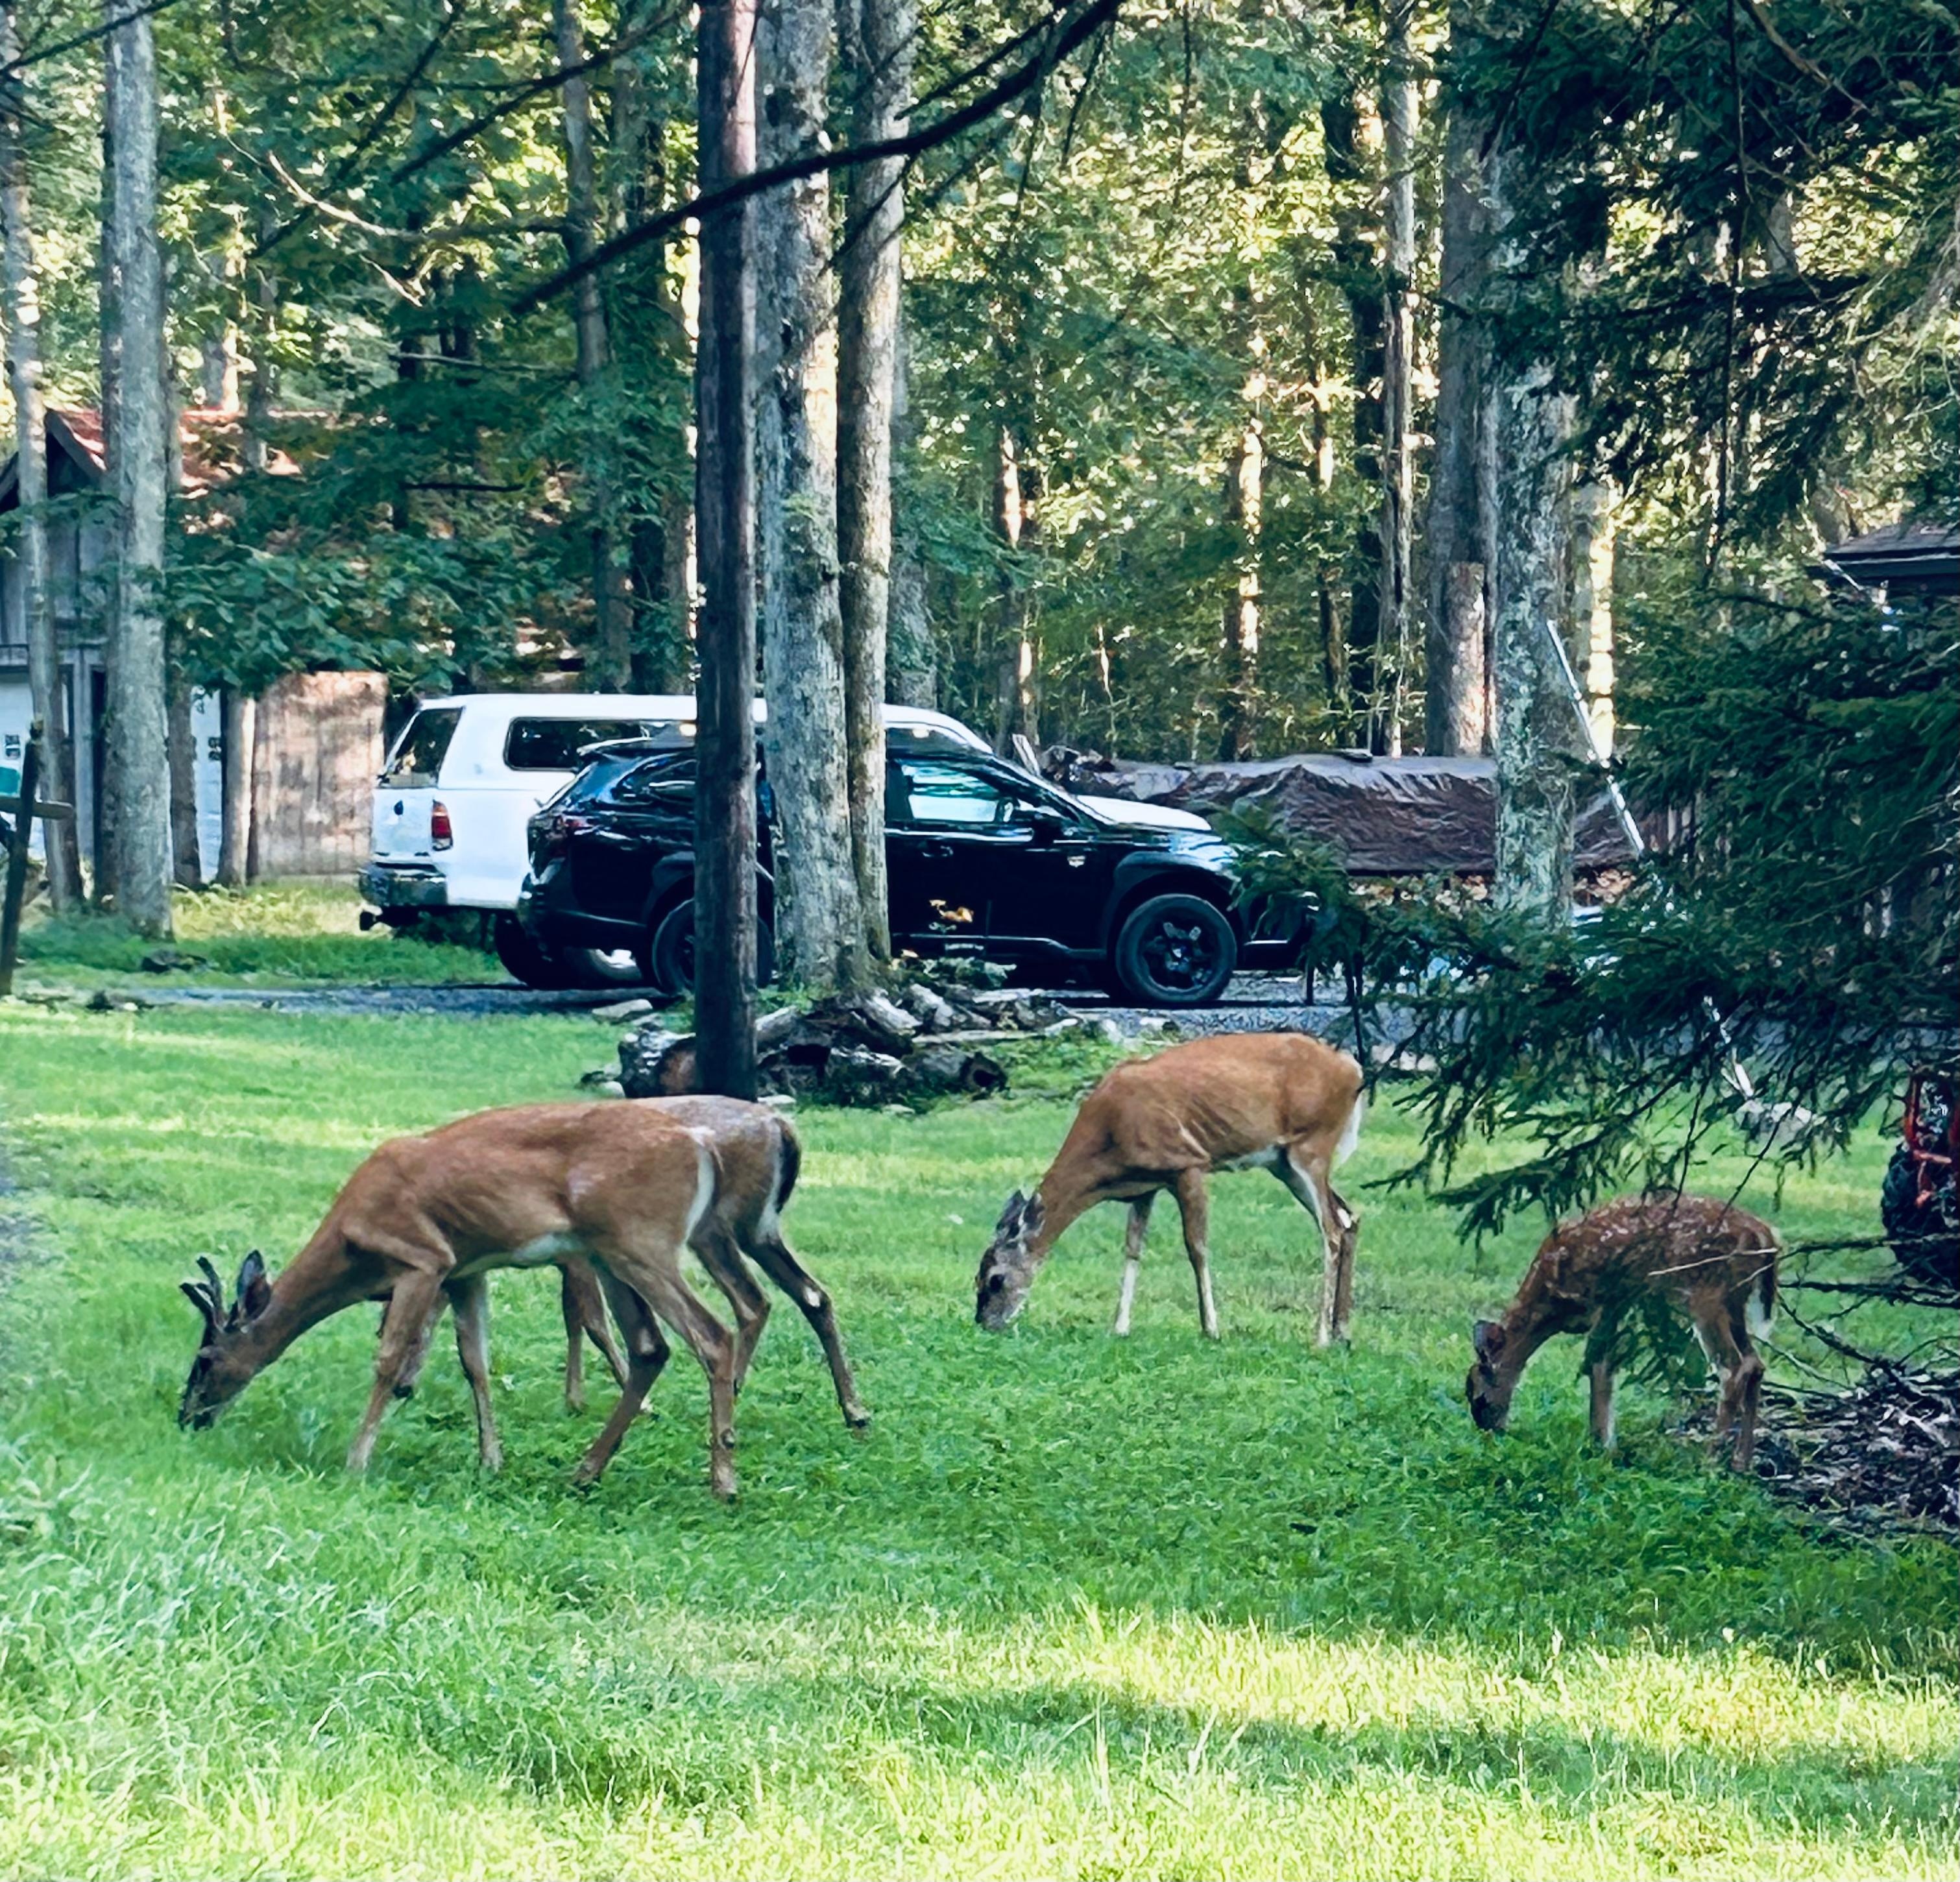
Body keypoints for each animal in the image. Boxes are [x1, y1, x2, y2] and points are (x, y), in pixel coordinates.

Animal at [179, 1098, 863, 1499]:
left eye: (205, 1360)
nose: (187, 1418)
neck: (353, 1240)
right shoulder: (465, 1271)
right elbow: (475, 1361)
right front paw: (490, 1459)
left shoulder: (422, 1259)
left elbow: (389, 1355)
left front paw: (356, 1458)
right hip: (629, 1247)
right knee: (666, 1341)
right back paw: (587, 1469)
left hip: (644, 1240)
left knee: (714, 1330)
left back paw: (723, 1477)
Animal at [974, 1032, 1365, 1344]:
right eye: (976, 1278)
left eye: (995, 1280)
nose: (984, 1323)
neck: (1110, 1137)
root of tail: (1354, 1070)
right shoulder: (1144, 1185)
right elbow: (1133, 1248)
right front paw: (1120, 1327)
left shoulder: (1187, 1164)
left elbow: (1197, 1247)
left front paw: (1211, 1329)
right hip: (1284, 1163)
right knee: (1348, 1217)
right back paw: (1343, 1331)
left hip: (1312, 1146)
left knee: (1331, 1229)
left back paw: (1321, 1337)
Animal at [1465, 1192, 1780, 1469]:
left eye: (1478, 1397)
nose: (1490, 1431)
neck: (1550, 1303)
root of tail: (1766, 1236)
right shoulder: (1620, 1300)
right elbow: (1604, 1364)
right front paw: (1605, 1444)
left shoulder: (1605, 1296)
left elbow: (1597, 1363)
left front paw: (1601, 1446)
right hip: (1735, 1299)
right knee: (1754, 1362)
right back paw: (1742, 1462)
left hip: (1708, 1292)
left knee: (1732, 1367)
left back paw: (1711, 1461)